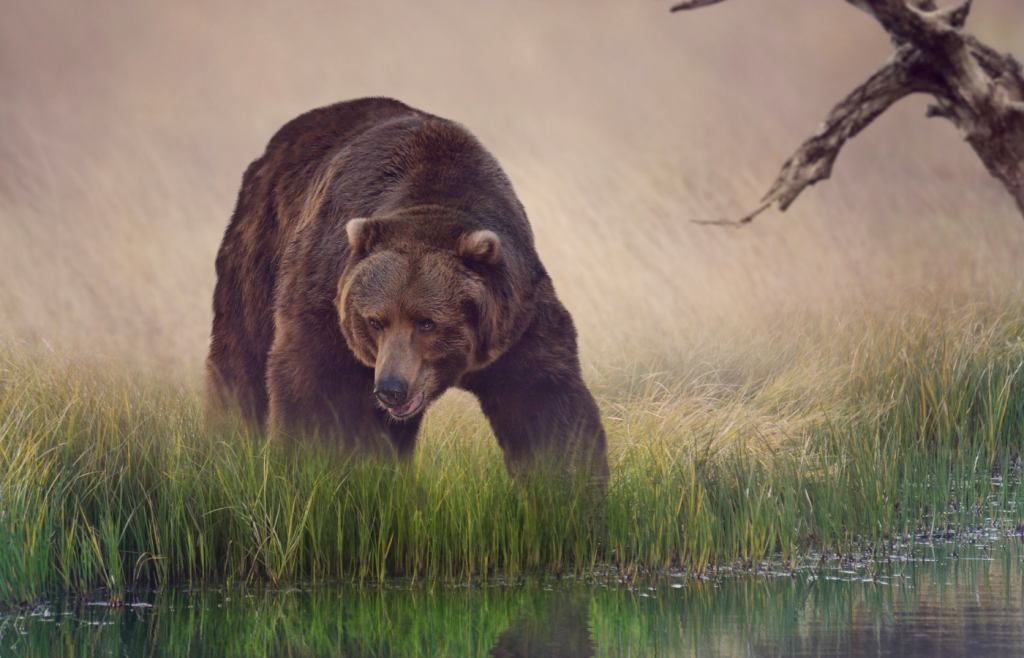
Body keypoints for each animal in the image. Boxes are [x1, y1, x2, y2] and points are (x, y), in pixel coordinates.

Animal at [207, 95, 606, 480]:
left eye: (427, 322)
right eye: (374, 321)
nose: (391, 388)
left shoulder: (516, 319)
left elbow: (545, 402)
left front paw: (564, 483)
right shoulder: (326, 298)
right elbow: (313, 388)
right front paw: (309, 467)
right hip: (260, 250)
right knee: (242, 355)